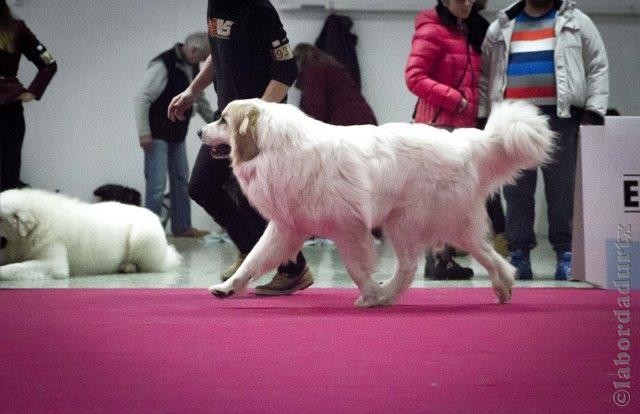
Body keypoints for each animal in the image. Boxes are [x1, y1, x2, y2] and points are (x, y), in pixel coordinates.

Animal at [199, 98, 556, 308]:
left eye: (223, 120)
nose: (201, 131)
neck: (278, 147)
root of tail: (464, 145)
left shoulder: (347, 229)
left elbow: (356, 268)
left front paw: (370, 293)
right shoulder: (287, 228)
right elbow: (253, 259)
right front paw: (228, 288)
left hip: (406, 223)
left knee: (409, 267)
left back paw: (385, 295)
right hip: (451, 224)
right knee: (488, 254)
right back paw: (504, 285)